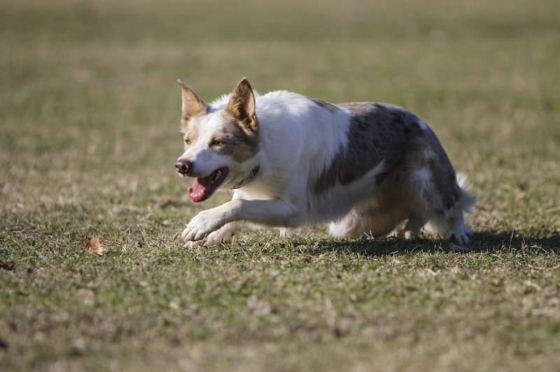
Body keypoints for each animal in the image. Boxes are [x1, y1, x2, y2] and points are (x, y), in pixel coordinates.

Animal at [174, 79, 472, 250]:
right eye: (188, 140)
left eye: (218, 142)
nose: (182, 165)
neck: (263, 151)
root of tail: (423, 123)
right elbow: (237, 203)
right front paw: (216, 235)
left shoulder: (294, 210)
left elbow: (237, 206)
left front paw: (202, 223)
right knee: (418, 211)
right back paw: (410, 230)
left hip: (426, 179)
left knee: (451, 205)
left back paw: (456, 234)